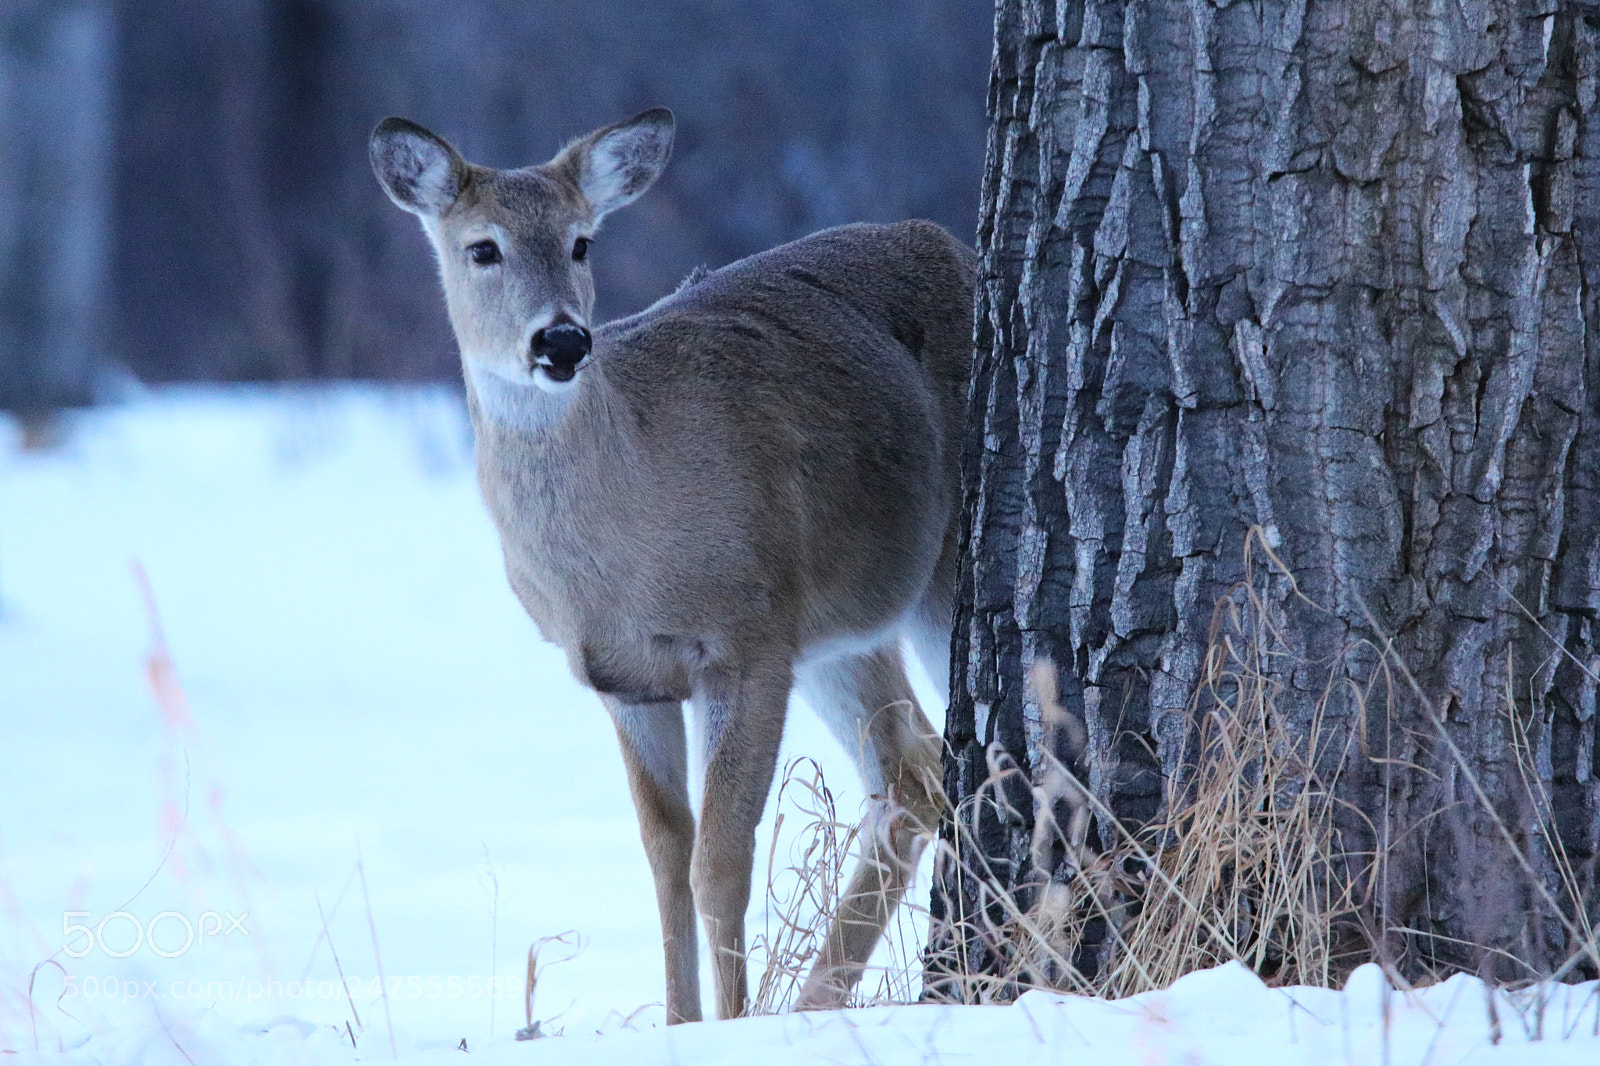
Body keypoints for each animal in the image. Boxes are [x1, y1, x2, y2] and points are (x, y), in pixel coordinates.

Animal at [370, 107, 976, 1023]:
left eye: (582, 241)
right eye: (482, 248)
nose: (561, 339)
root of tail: (958, 247)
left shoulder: (747, 635)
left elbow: (718, 856)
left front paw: (731, 1022)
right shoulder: (623, 677)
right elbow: (663, 852)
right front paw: (681, 1021)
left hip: (936, 577)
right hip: (842, 626)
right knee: (912, 773)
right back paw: (819, 999)